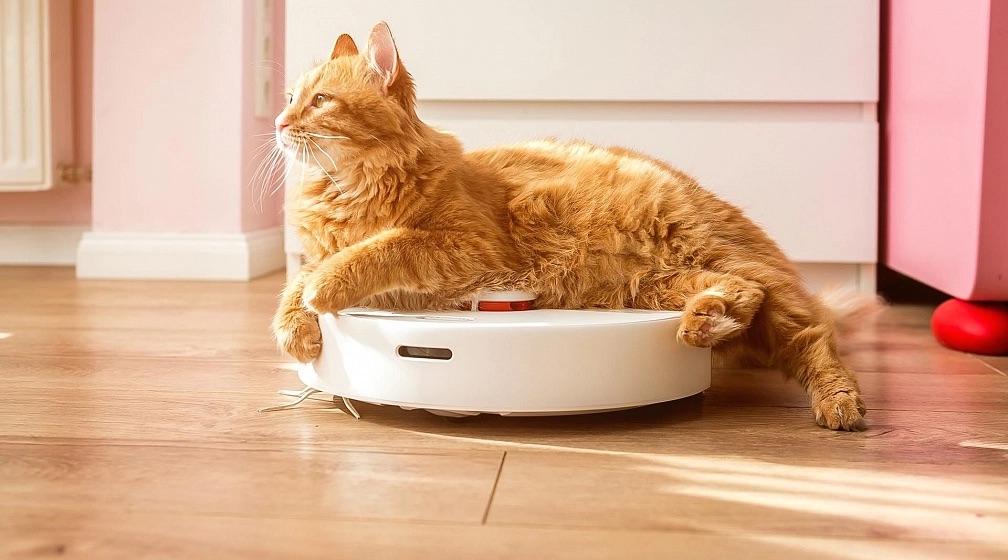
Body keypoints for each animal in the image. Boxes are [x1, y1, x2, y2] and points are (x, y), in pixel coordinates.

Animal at [271, 22, 870, 431]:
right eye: (290, 98)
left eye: (320, 101)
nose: (277, 122)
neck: (350, 190)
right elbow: (295, 283)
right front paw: (297, 328)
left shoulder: (464, 245)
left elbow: (378, 250)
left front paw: (326, 290)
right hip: (654, 286)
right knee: (743, 295)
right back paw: (706, 322)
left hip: (717, 261)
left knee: (811, 337)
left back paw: (838, 405)